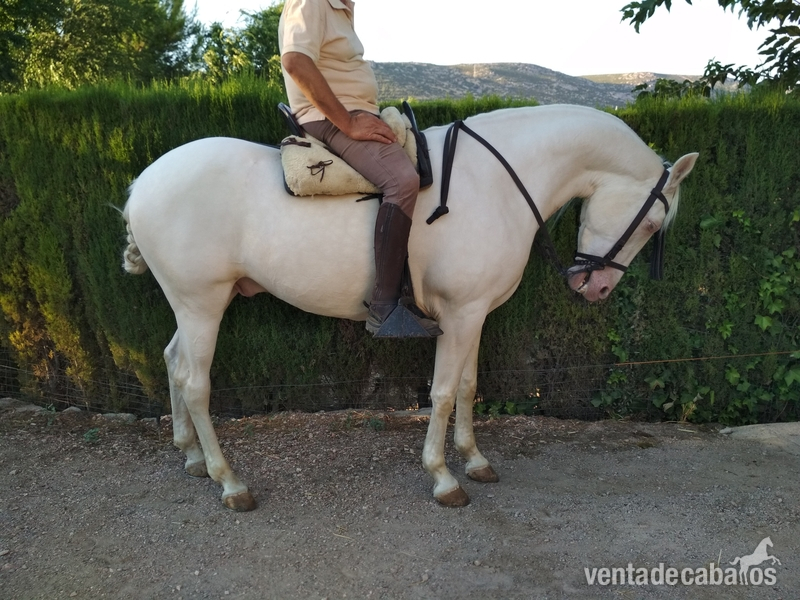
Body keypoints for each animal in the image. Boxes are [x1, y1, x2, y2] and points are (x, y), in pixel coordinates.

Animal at [122, 104, 698, 511]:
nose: (595, 287)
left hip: (191, 305)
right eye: (652, 224)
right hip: (202, 303)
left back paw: (192, 455)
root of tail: (142, 184)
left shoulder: (475, 314)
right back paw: (229, 481)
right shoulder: (460, 316)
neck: (495, 182)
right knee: (196, 383)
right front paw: (443, 477)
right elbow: (441, 394)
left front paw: (474, 459)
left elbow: (466, 387)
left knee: (172, 362)